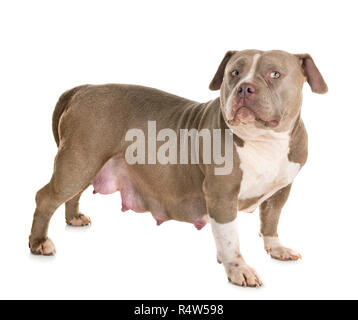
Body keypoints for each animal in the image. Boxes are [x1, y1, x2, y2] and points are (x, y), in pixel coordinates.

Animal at [30, 49, 328, 288]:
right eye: (234, 73)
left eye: (274, 74)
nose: (244, 88)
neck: (262, 140)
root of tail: (83, 88)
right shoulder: (221, 194)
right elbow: (230, 236)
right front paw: (237, 268)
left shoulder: (281, 190)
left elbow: (271, 220)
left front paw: (276, 248)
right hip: (78, 161)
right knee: (47, 197)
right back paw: (39, 243)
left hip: (86, 164)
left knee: (73, 194)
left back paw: (74, 218)